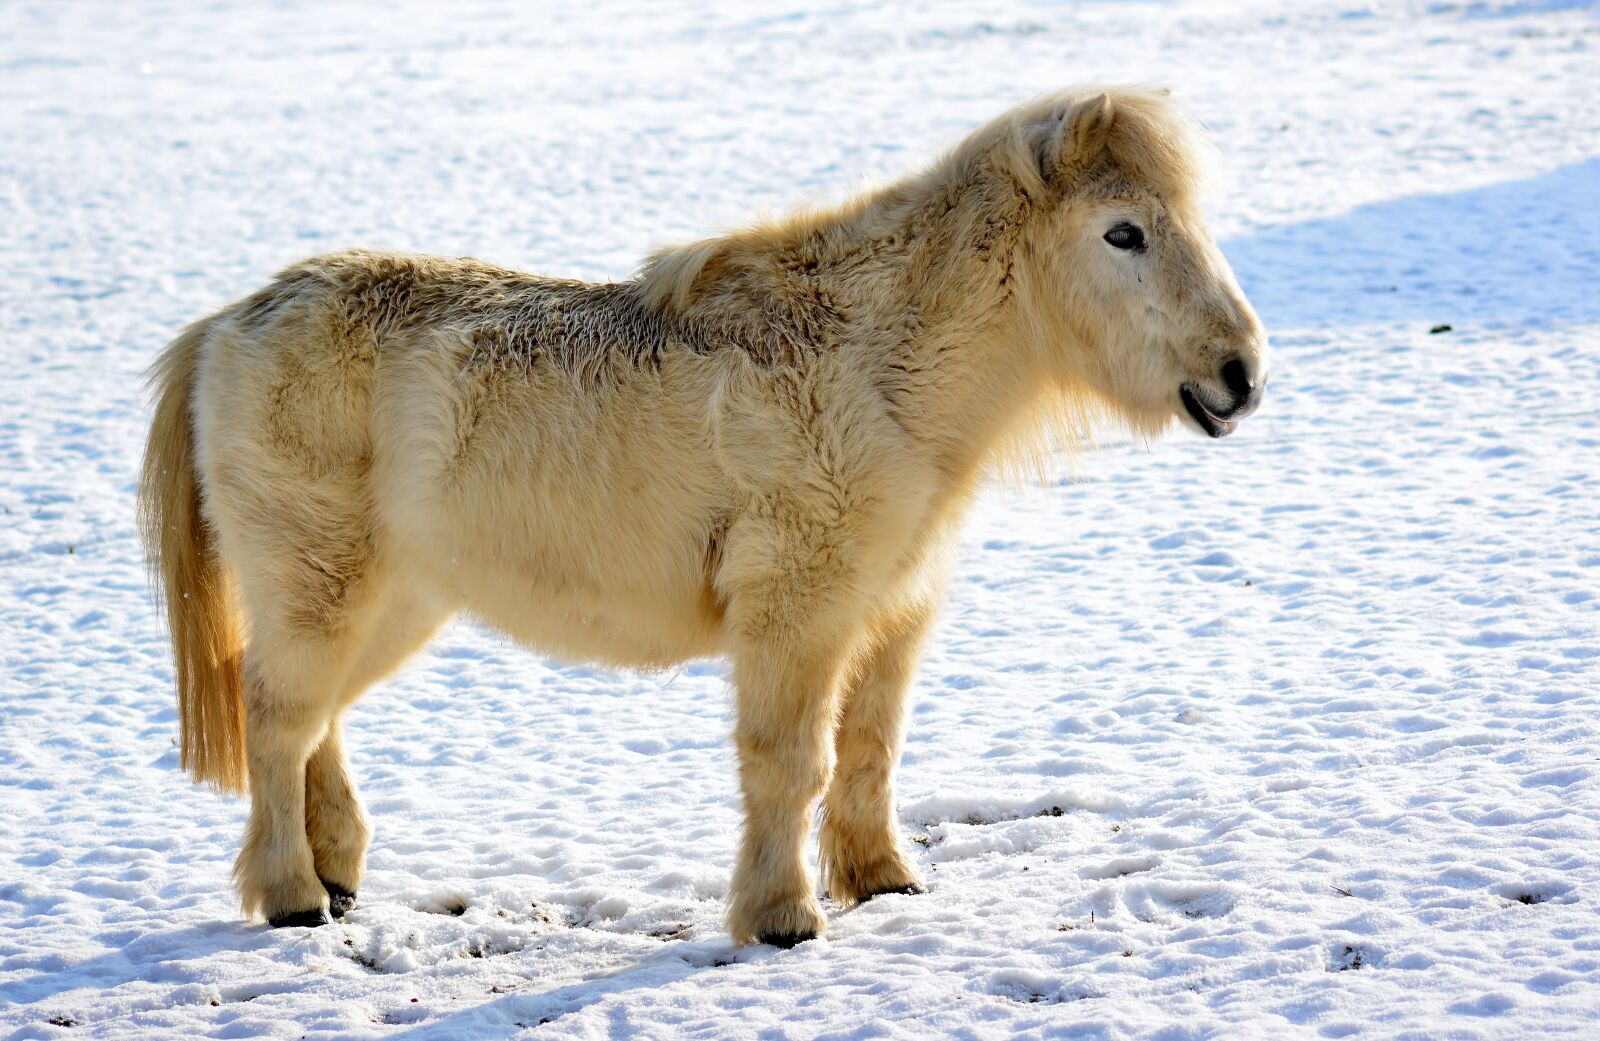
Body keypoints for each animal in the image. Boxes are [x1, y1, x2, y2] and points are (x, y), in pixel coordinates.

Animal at [138, 85, 1268, 947]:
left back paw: (337, 876)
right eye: (1122, 232)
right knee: (277, 718)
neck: (877, 367)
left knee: (312, 716)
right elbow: (792, 764)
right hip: (321, 580)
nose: (1241, 375)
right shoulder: (796, 613)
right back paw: (293, 896)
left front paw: (883, 879)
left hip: (390, 597)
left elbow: (870, 750)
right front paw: (782, 918)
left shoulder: (889, 614)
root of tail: (229, 322)